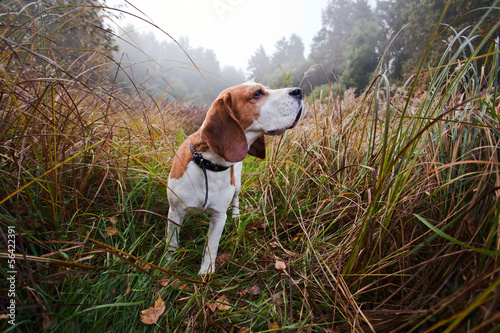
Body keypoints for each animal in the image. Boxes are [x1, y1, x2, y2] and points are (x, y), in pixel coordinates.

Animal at [166, 81, 302, 274]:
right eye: (257, 94)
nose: (299, 91)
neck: (208, 163)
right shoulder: (175, 210)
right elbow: (172, 242)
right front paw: (169, 262)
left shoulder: (219, 217)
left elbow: (212, 246)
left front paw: (205, 272)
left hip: (236, 184)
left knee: (236, 198)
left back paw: (236, 216)